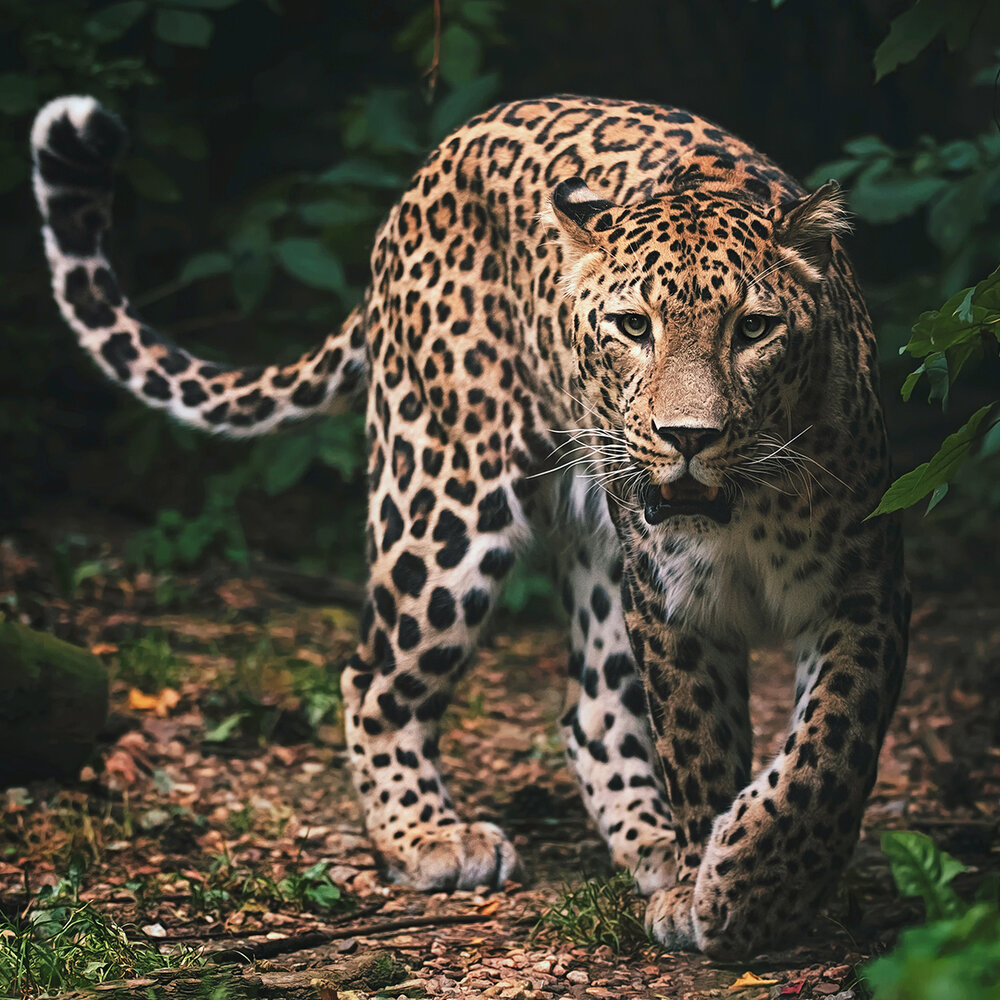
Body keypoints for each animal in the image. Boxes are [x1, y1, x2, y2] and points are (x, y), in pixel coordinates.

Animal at [30, 93, 909, 957]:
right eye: (633, 327)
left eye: (753, 329)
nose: (687, 437)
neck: (744, 510)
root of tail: (439, 158)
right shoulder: (671, 605)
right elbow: (700, 747)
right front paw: (723, 891)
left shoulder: (864, 590)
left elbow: (829, 749)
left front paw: (756, 884)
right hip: (442, 501)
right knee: (372, 678)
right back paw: (431, 838)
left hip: (594, 550)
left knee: (590, 709)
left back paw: (653, 851)